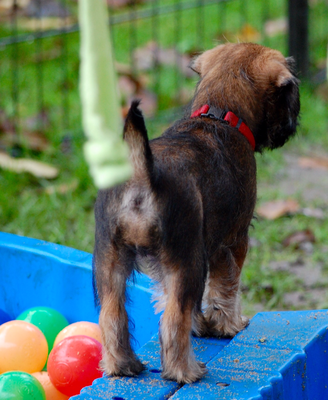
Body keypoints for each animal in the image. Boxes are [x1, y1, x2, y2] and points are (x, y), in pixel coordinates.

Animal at [92, 42, 300, 382]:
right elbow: (225, 288)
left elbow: (193, 300)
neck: (219, 115)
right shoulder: (233, 241)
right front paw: (228, 325)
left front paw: (204, 325)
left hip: (109, 262)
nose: (293, 125)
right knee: (173, 319)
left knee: (112, 315)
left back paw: (122, 366)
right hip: (186, 262)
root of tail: (142, 175)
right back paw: (185, 371)